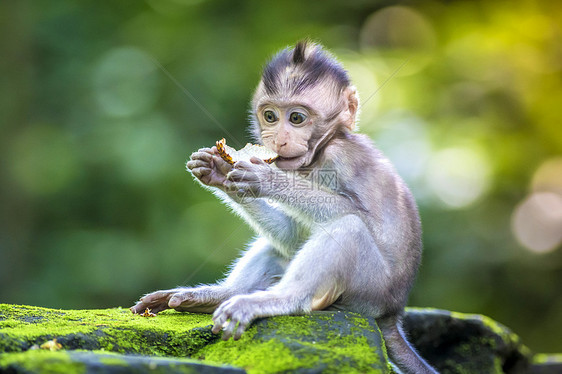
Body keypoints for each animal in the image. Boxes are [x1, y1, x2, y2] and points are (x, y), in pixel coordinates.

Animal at [132, 41, 438, 374]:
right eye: (269, 116)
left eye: (296, 119)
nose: (277, 139)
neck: (319, 152)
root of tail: (391, 314)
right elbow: (292, 235)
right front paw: (219, 171)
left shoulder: (341, 158)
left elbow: (356, 213)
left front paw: (266, 179)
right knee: (281, 248)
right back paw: (216, 296)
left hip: (368, 290)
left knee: (348, 228)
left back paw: (278, 300)